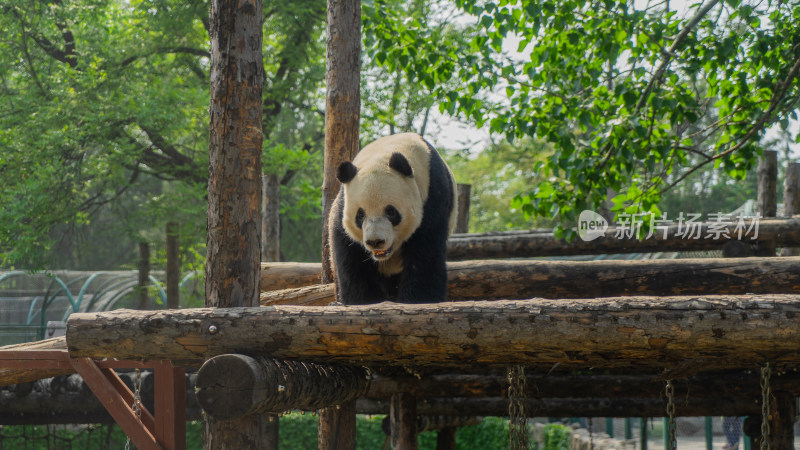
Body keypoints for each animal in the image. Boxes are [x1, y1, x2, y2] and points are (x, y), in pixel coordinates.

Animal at [326, 132, 456, 304]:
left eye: (391, 212)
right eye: (360, 215)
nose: (375, 241)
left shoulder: (433, 195)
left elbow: (425, 253)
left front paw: (419, 299)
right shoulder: (343, 203)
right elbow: (350, 255)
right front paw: (364, 300)